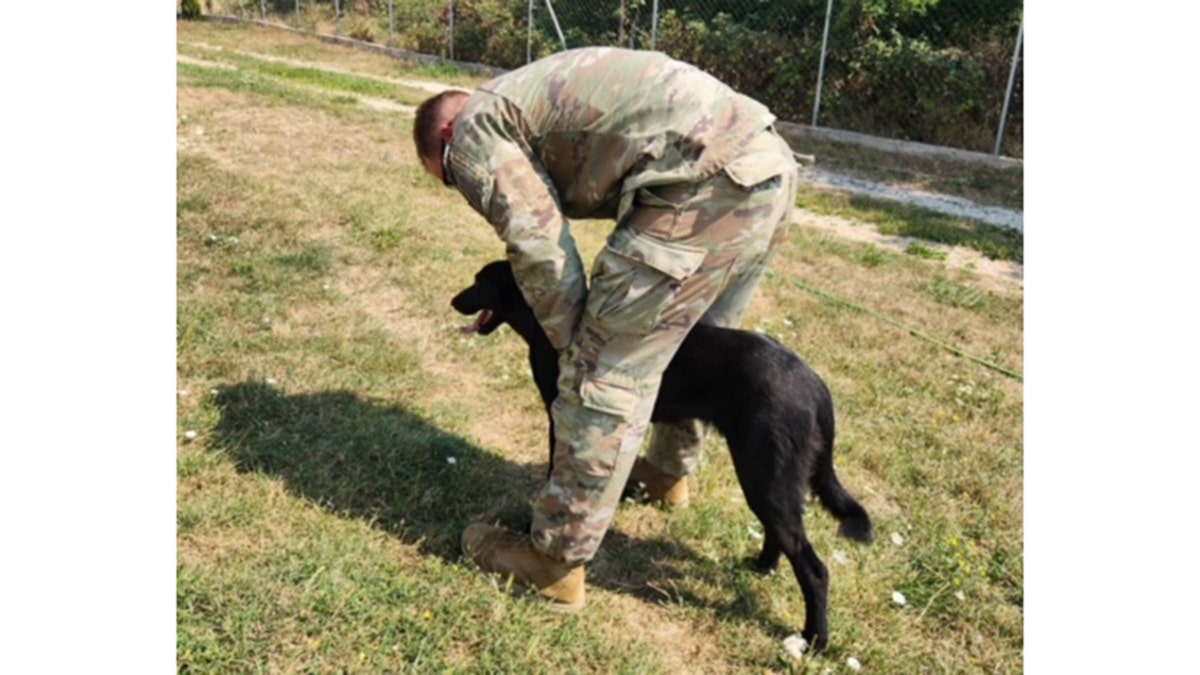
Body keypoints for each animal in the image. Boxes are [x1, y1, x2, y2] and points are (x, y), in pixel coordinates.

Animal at [451, 260, 873, 648]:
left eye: (479, 281)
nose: (454, 301)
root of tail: (815, 385)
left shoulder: (564, 421)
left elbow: (557, 479)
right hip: (770, 475)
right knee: (782, 534)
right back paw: (762, 567)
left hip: (763, 472)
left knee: (814, 567)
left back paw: (814, 639)